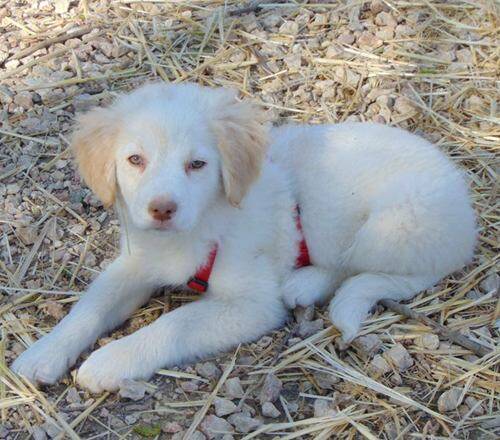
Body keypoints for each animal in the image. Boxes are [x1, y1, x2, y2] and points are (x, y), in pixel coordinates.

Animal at [12, 83, 476, 392]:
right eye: (135, 160)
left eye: (197, 164)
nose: (162, 209)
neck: (199, 229)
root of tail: (466, 212)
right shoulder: (136, 262)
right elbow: (90, 307)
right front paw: (44, 353)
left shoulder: (252, 305)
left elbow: (175, 323)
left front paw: (112, 359)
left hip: (393, 224)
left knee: (367, 269)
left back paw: (305, 282)